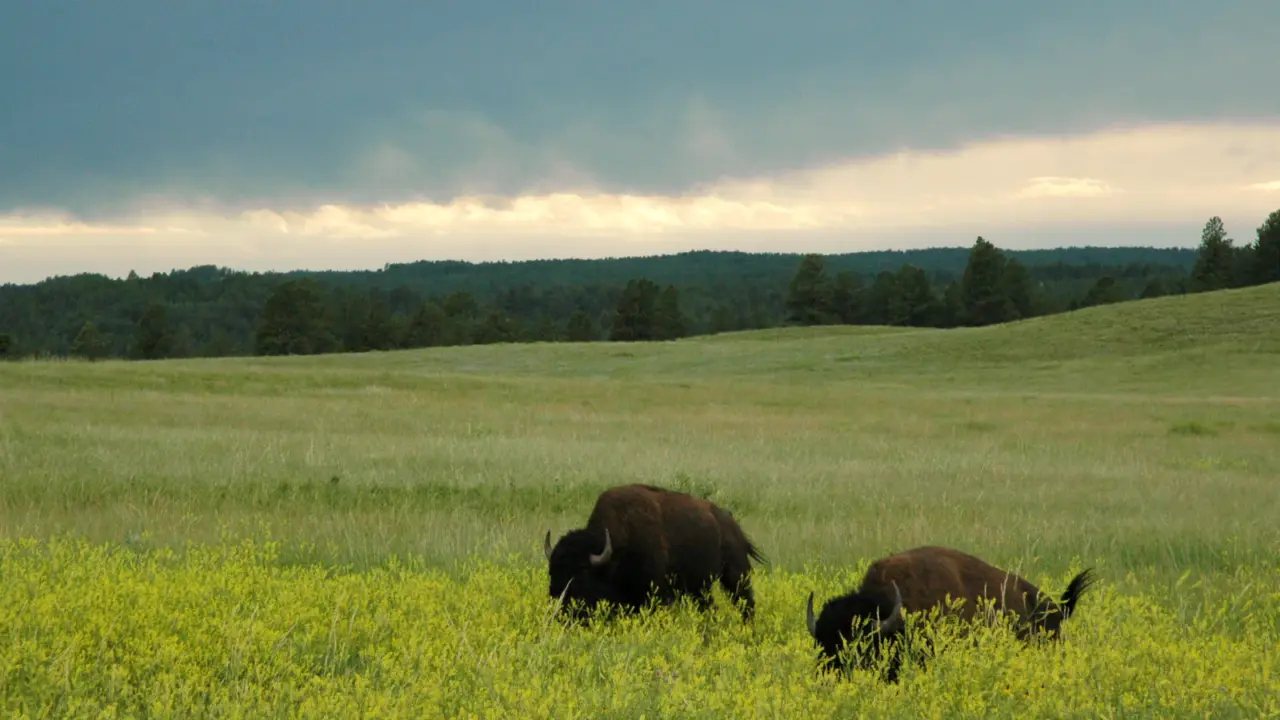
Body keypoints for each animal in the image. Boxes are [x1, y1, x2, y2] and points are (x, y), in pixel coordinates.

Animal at [543, 483, 766, 622]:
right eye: (551, 572)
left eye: (581, 573)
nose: (559, 609)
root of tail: (731, 523)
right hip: (700, 588)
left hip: (736, 576)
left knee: (746, 603)